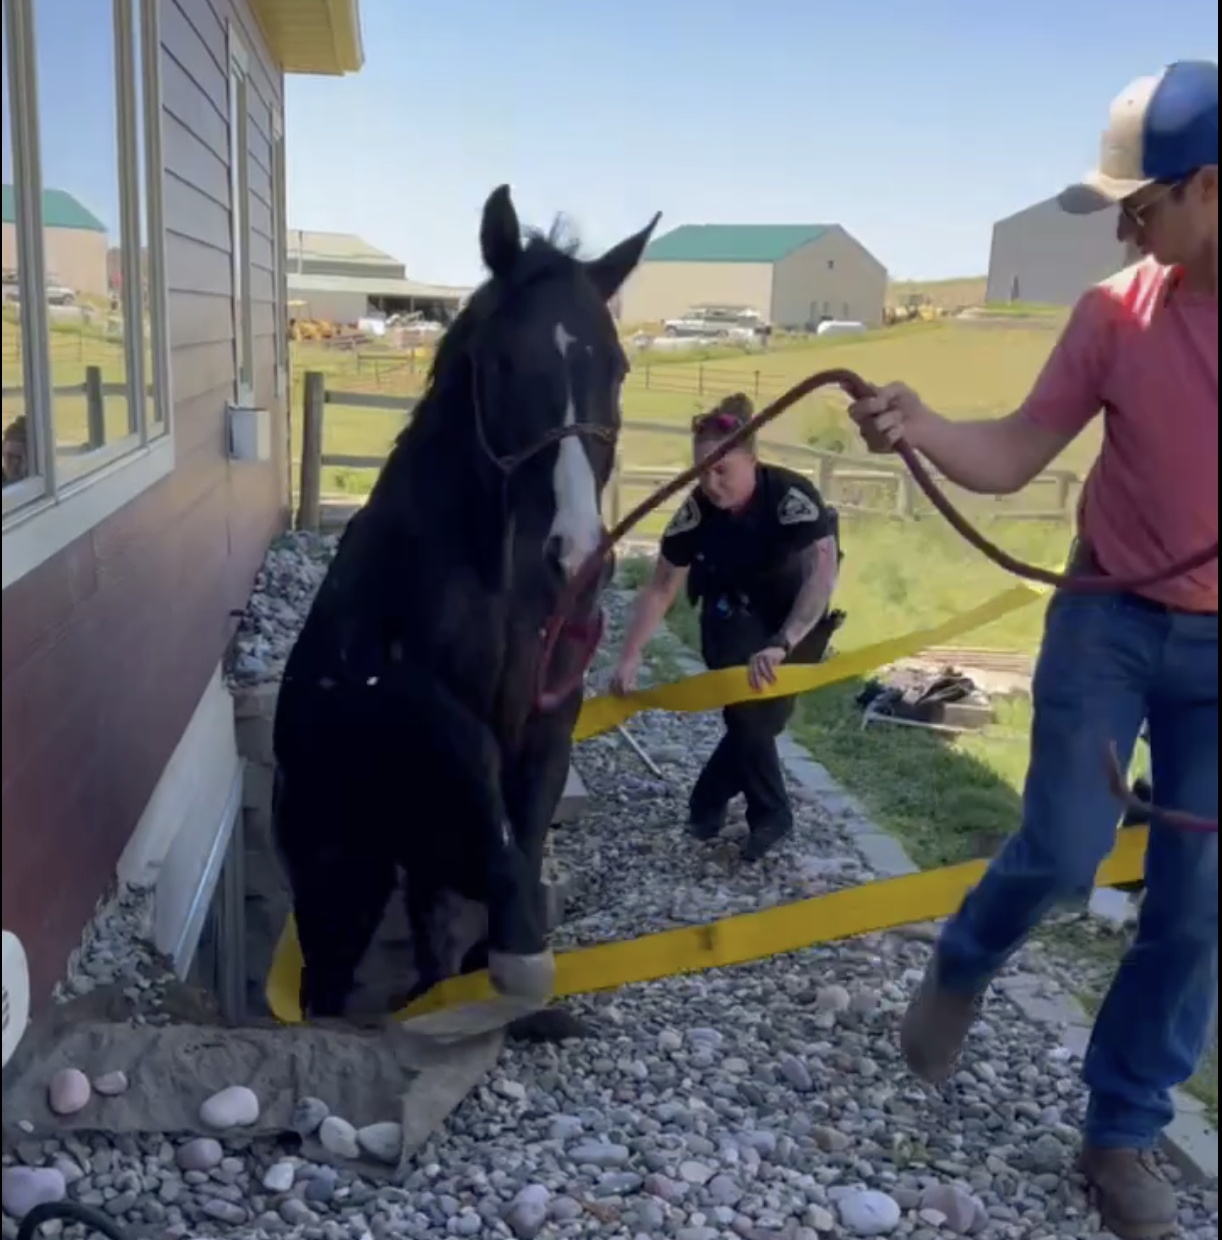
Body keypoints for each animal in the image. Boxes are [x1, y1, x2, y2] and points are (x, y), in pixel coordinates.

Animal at [272, 185, 660, 1021]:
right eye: (503, 361)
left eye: (617, 365)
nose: (578, 560)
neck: (495, 580)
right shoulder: (400, 693)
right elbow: (473, 760)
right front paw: (520, 958)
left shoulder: (551, 706)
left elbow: (527, 825)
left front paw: (515, 963)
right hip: (342, 876)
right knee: (330, 975)